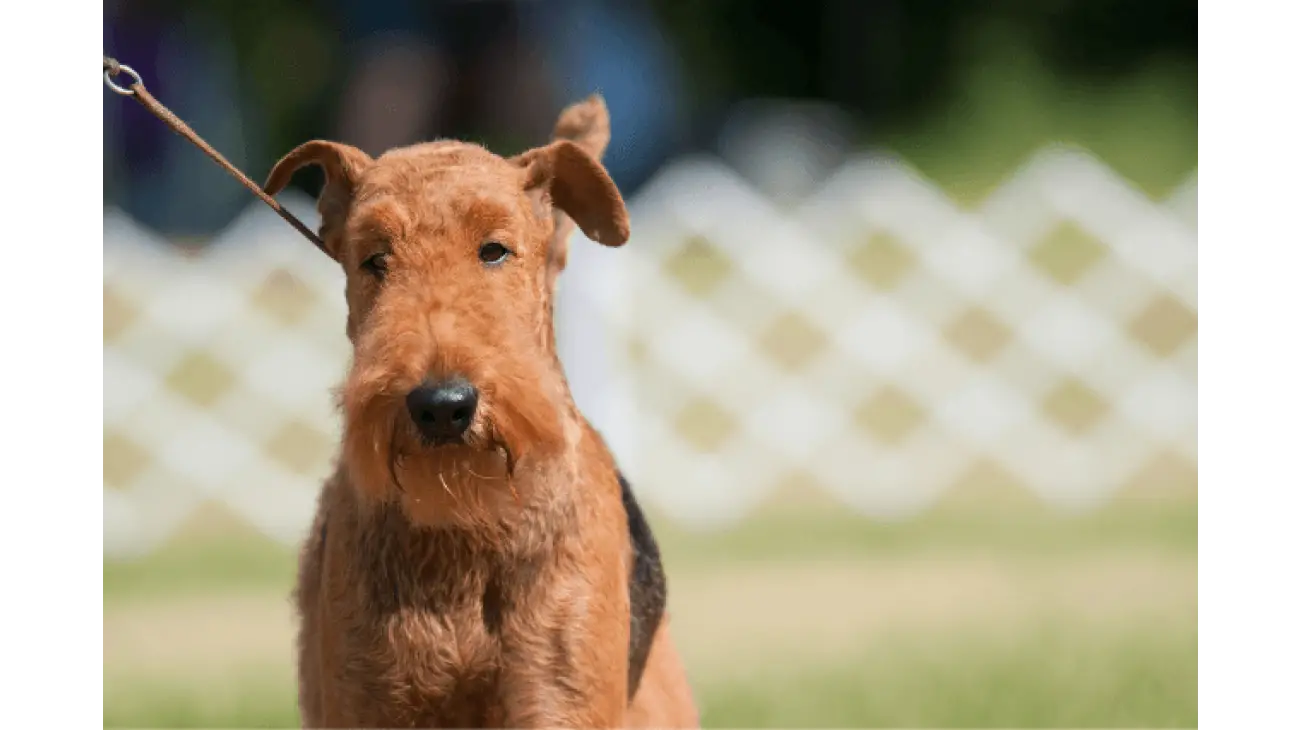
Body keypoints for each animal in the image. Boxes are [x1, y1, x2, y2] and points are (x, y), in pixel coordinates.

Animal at [262, 95, 702, 722]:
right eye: (375, 258)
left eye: (494, 250)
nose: (442, 405)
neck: (466, 529)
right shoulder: (369, 700)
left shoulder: (557, 699)